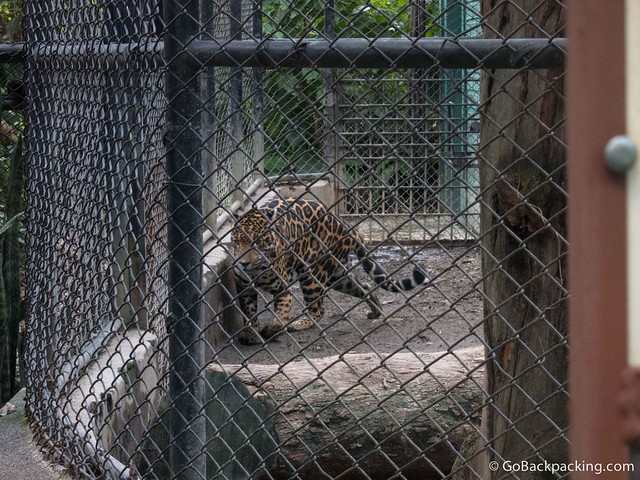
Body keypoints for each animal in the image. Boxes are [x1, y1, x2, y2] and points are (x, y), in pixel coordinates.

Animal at [230, 197, 428, 345]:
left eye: (257, 242)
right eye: (236, 241)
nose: (243, 263)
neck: (256, 270)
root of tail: (344, 223)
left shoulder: (282, 287)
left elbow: (281, 315)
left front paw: (271, 330)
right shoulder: (243, 286)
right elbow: (248, 311)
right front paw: (251, 333)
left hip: (313, 275)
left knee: (318, 309)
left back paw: (299, 323)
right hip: (338, 276)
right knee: (363, 286)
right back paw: (375, 310)